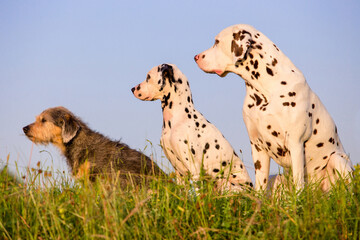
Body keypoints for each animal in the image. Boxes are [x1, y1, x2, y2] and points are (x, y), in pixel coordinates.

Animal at [195, 24, 352, 192]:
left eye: (217, 42)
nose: (196, 57)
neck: (264, 91)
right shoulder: (257, 148)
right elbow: (259, 188)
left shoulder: (296, 143)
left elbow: (298, 185)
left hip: (337, 159)